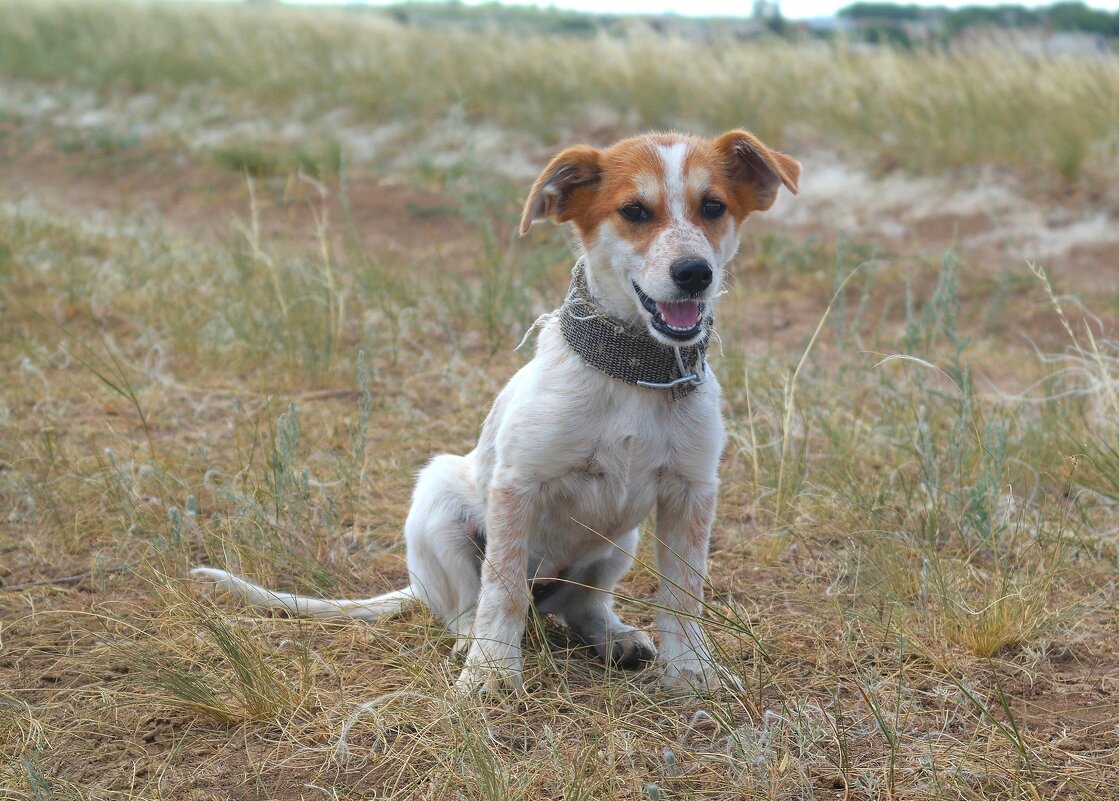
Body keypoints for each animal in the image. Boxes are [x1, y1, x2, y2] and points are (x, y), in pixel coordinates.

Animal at [196, 128, 801, 693]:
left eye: (714, 207)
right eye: (634, 211)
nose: (695, 273)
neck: (632, 372)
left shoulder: (691, 493)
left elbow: (683, 594)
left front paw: (692, 670)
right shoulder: (517, 486)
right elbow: (502, 586)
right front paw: (490, 671)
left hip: (616, 545)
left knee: (582, 605)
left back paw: (616, 637)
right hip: (438, 504)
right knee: (469, 604)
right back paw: (472, 640)